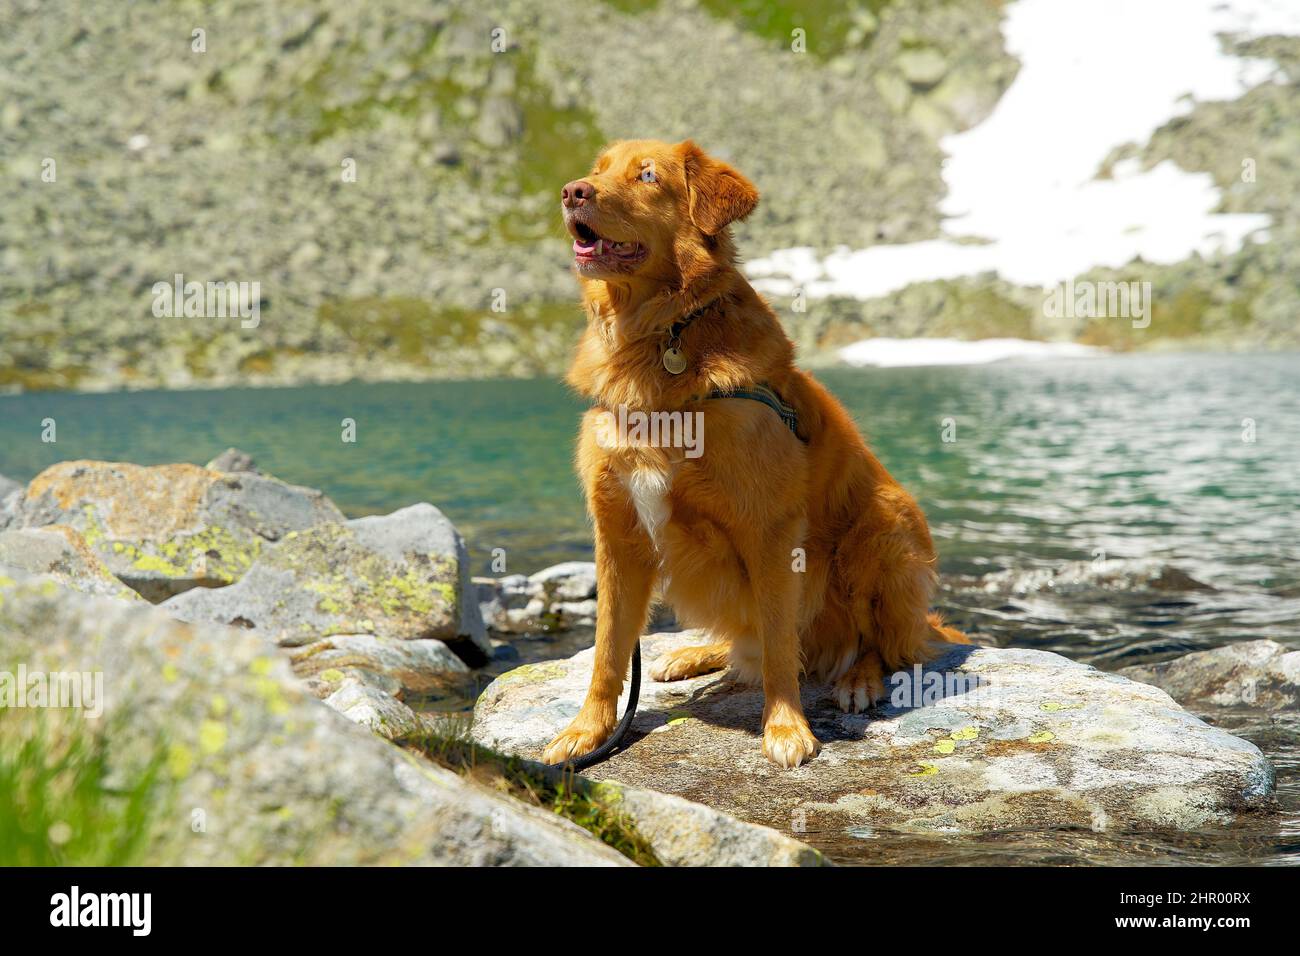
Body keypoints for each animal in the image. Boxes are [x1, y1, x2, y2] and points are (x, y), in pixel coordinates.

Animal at [540, 140, 967, 770]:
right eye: (597, 171)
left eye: (648, 176)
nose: (572, 192)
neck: (663, 335)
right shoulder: (618, 532)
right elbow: (608, 650)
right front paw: (587, 731)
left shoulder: (770, 529)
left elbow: (779, 646)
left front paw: (786, 727)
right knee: (750, 641)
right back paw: (695, 654)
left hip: (882, 530)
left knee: (874, 645)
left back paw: (858, 679)